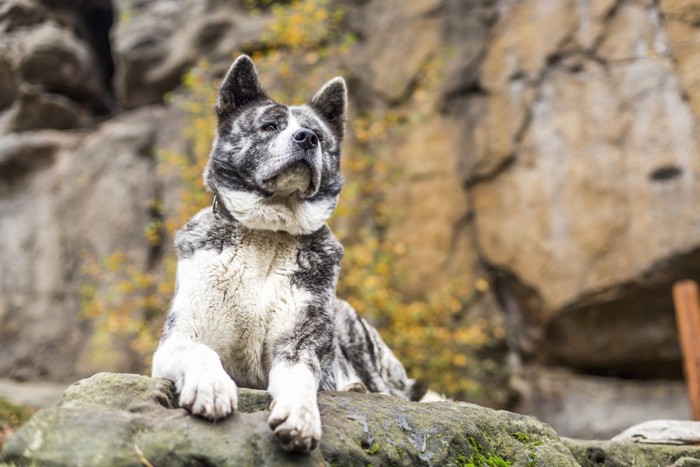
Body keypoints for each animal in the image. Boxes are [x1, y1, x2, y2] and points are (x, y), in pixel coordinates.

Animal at [153, 54, 418, 454]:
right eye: (269, 126)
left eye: (318, 134)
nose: (307, 138)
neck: (267, 235)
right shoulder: (178, 339)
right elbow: (200, 352)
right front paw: (211, 388)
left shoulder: (298, 344)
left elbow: (300, 379)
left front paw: (299, 416)